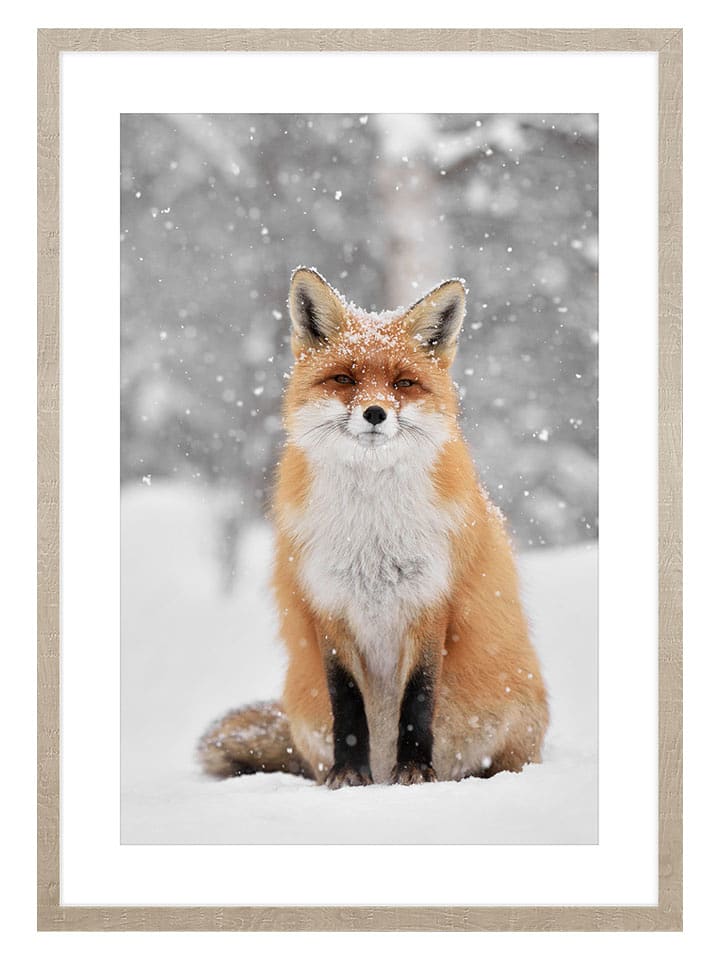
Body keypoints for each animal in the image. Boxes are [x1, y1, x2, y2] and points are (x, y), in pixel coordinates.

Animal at [198, 267, 548, 788]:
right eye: (344, 378)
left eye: (403, 383)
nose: (375, 413)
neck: (371, 533)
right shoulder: (328, 603)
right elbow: (346, 699)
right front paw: (348, 774)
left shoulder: (430, 600)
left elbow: (418, 698)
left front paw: (415, 771)